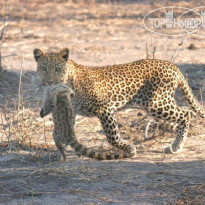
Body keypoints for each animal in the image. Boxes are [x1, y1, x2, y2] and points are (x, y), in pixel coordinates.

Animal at [34, 48, 205, 156]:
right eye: (43, 68)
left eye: (57, 69)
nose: (49, 82)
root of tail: (174, 67)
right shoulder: (72, 110)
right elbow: (63, 129)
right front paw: (61, 150)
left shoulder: (104, 109)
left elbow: (112, 136)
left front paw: (129, 149)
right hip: (156, 106)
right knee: (178, 118)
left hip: (157, 104)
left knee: (186, 113)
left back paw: (176, 147)